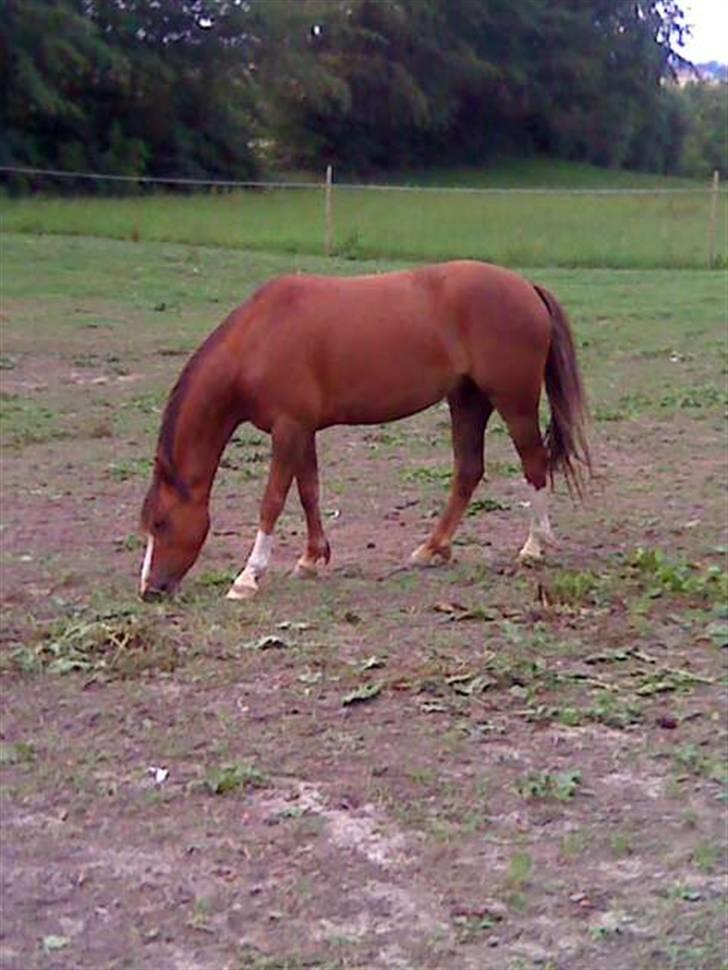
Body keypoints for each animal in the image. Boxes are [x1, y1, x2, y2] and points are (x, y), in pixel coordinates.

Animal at [139, 260, 591, 600]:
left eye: (161, 522)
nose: (149, 590)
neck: (259, 337)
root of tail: (526, 286)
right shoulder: (302, 430)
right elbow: (308, 492)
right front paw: (311, 558)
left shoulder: (288, 429)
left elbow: (272, 501)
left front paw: (248, 577)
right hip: (467, 400)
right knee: (469, 470)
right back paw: (432, 548)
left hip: (513, 402)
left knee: (534, 465)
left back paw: (534, 547)